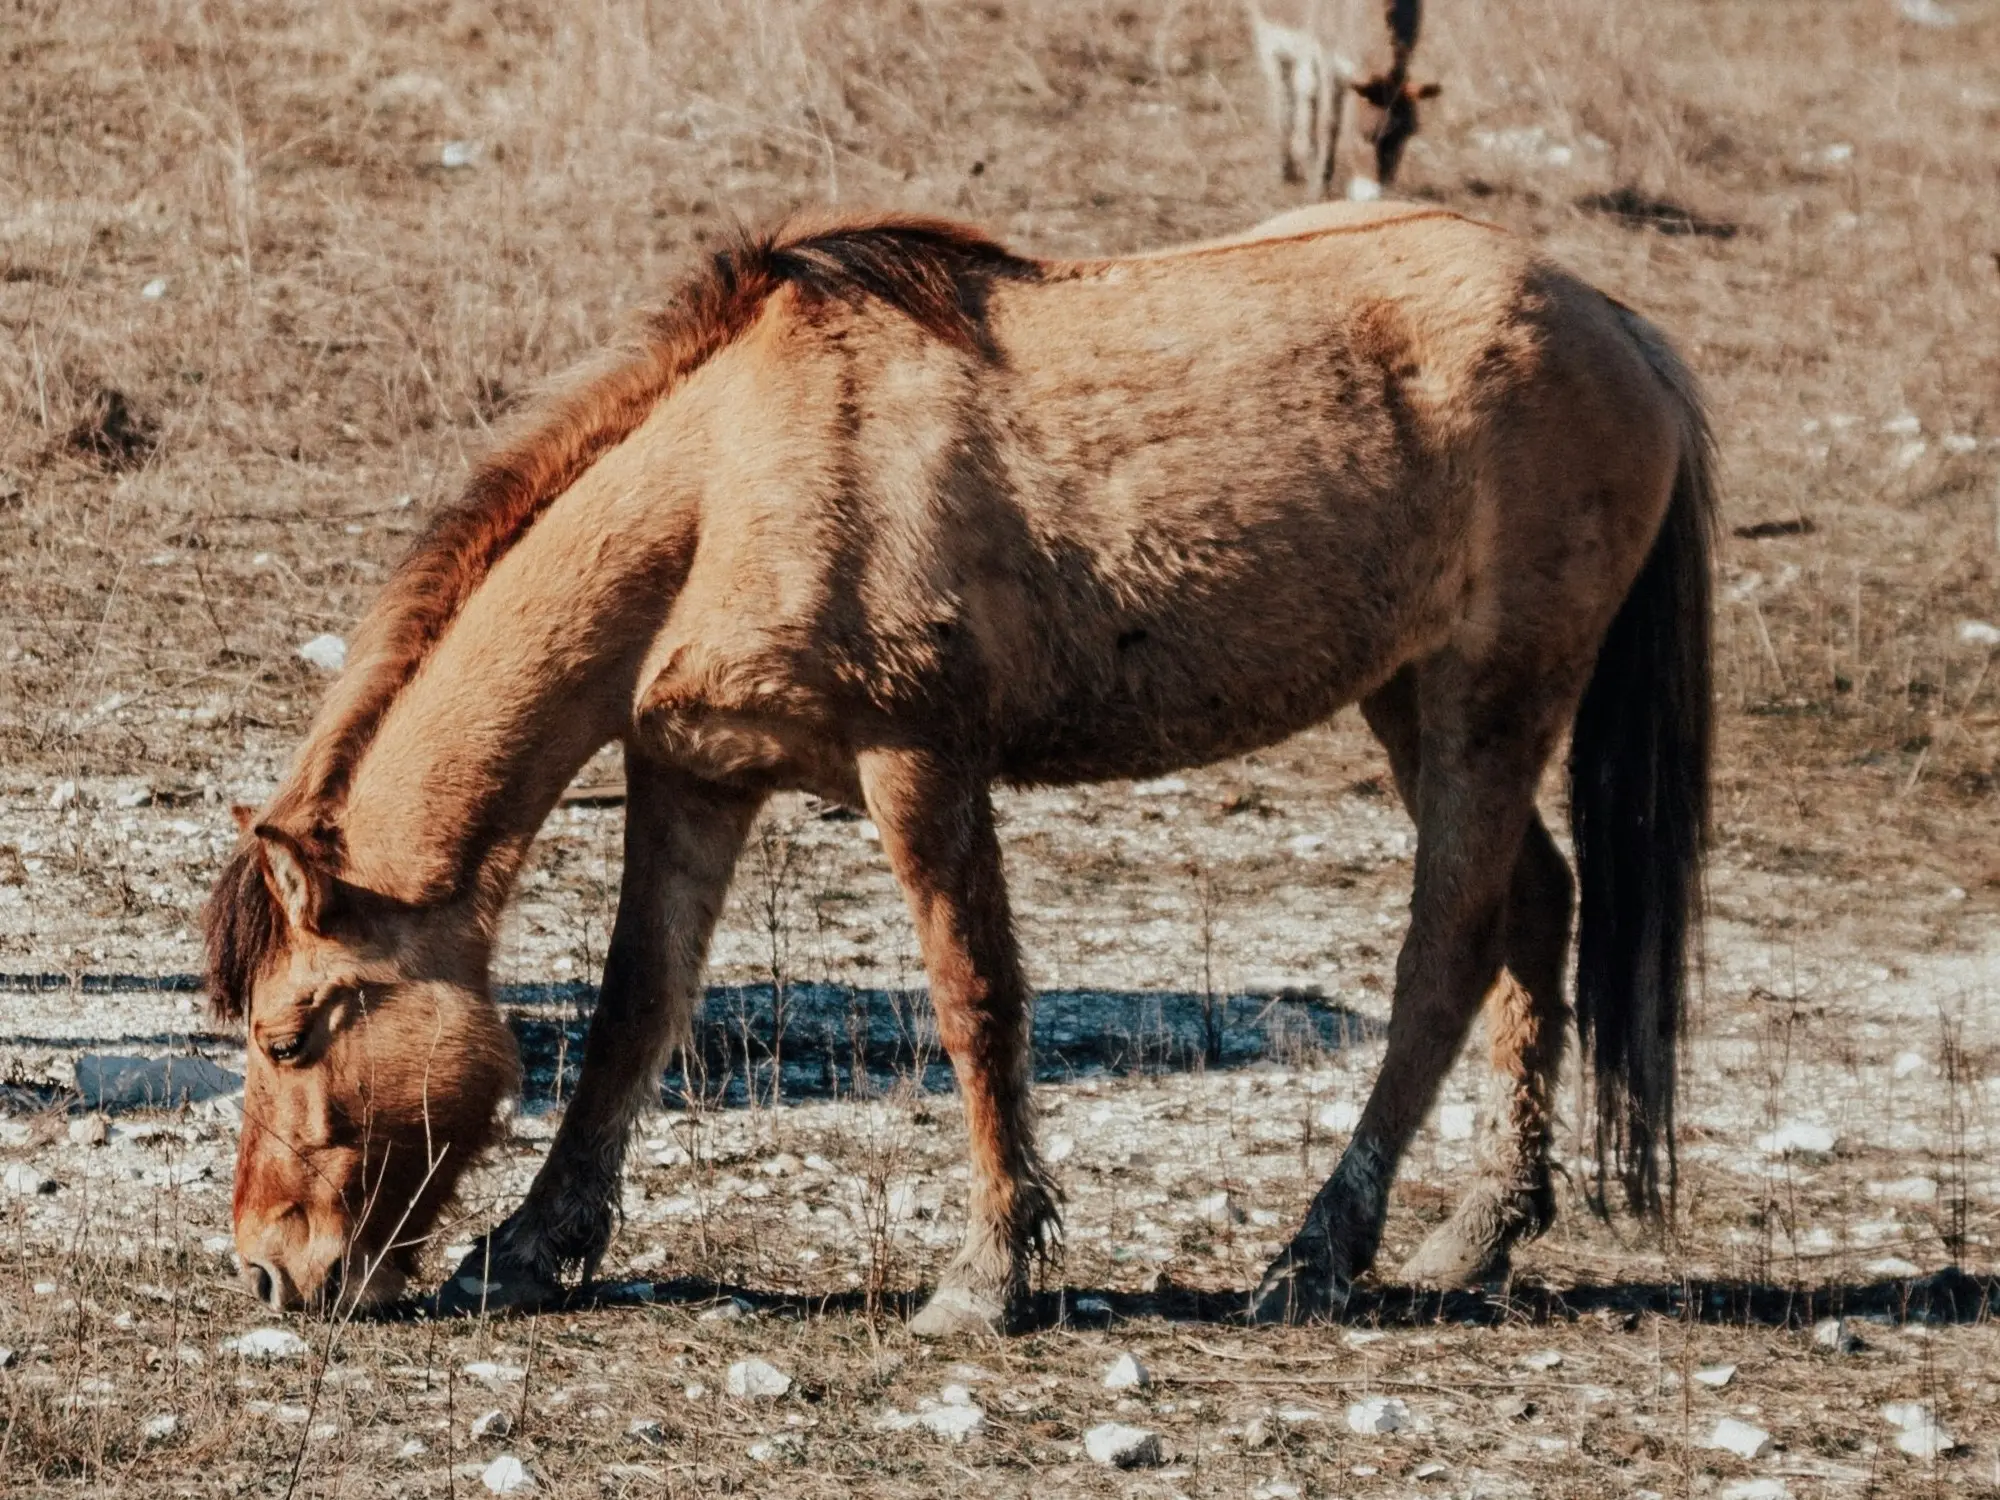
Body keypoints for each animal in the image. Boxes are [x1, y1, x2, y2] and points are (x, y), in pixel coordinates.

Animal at [211, 203, 1712, 1336]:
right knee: (1536, 910)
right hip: (1413, 700)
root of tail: (1616, 324)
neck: (725, 482)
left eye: (291, 1034)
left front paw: (990, 1277)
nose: (268, 1269)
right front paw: (527, 1247)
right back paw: (1479, 1235)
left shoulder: (917, 762)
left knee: (1444, 954)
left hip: (1489, 698)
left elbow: (975, 1000)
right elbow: (638, 1006)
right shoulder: (693, 775)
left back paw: (1319, 1253)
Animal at [1248, 0, 1440, 200]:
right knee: (1281, 96)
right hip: (1270, 41)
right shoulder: (1325, 59)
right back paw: (1285, 170)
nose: (1371, 197)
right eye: (1366, 135)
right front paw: (1318, 187)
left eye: (1405, 136)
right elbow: (1328, 122)